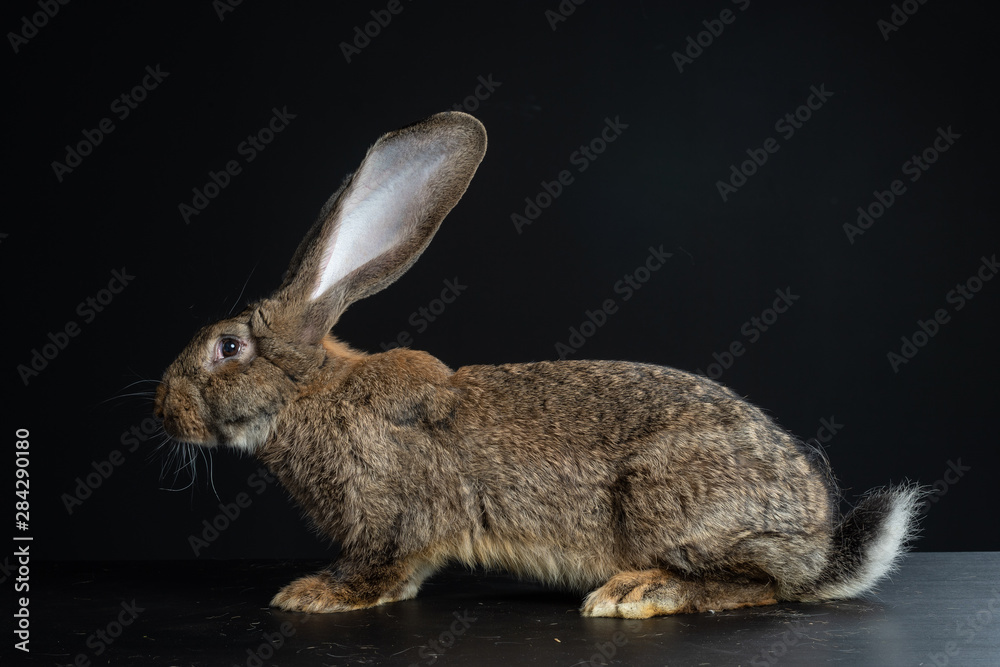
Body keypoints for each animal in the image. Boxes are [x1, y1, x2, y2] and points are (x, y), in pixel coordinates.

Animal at [154, 111, 923, 618]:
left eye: (227, 348)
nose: (164, 412)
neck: (309, 392)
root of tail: (819, 546)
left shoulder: (392, 513)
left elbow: (383, 565)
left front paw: (314, 593)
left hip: (666, 500)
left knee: (758, 583)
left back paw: (637, 592)